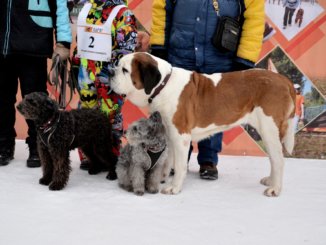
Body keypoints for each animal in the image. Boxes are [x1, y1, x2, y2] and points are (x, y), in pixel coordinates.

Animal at [111, 52, 296, 197]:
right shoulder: (170, 133)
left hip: (269, 129)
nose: (111, 72)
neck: (163, 86)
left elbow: (180, 165)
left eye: (125, 70)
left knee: (278, 160)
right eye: (118, 66)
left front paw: (174, 187)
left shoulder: (181, 136)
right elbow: (169, 160)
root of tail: (282, 79)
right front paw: (162, 178)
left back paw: (274, 189)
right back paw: (270, 181)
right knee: (273, 159)